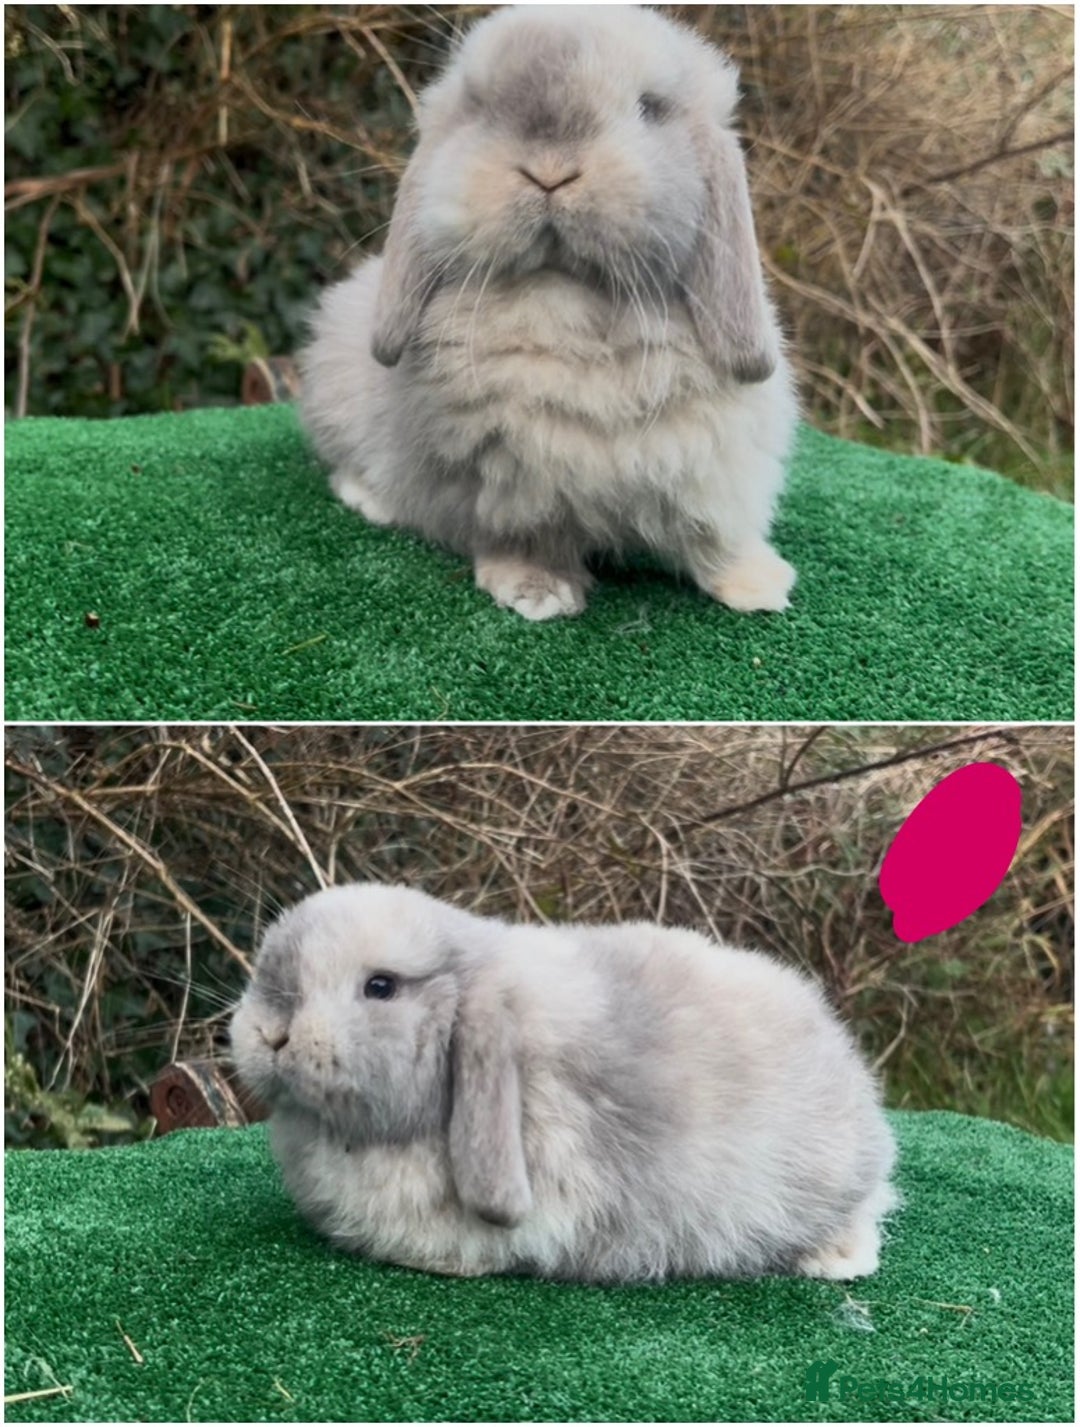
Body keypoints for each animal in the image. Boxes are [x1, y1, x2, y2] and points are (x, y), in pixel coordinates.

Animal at [298, 4, 799, 621]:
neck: (567, 305)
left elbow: (716, 533)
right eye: (481, 107)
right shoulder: (510, 484)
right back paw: (373, 499)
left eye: (649, 108)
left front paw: (761, 585)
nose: (550, 171)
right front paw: (537, 593)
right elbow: (527, 537)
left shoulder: (715, 466)